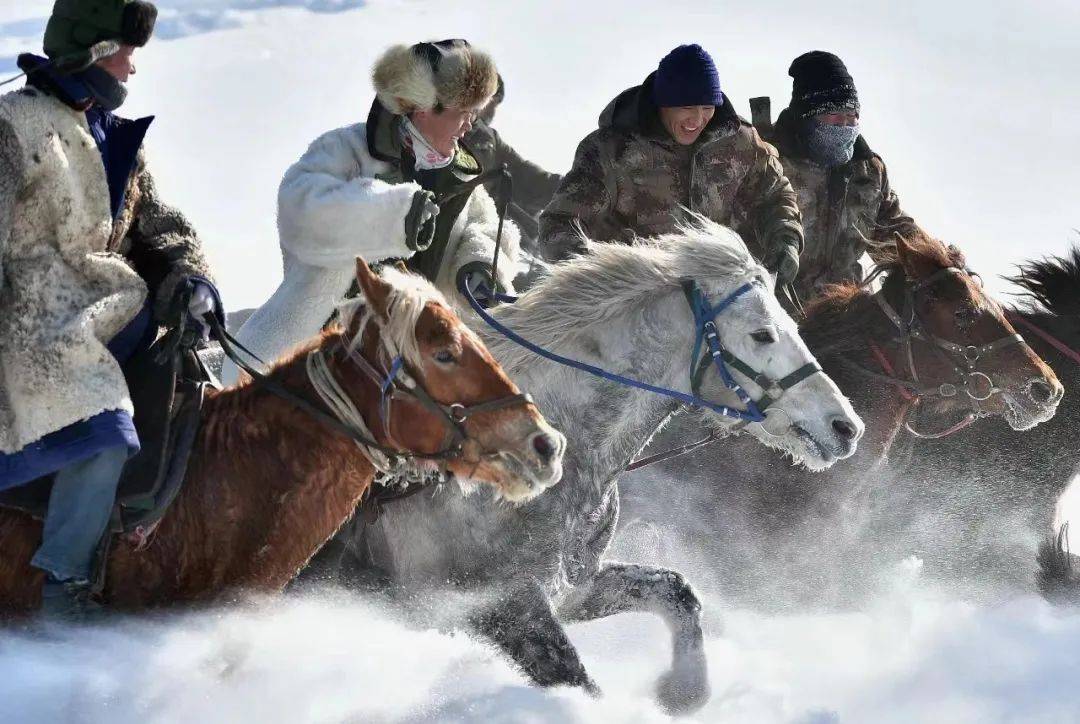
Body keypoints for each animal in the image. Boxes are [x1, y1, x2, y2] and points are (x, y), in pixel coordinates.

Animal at [317, 219, 859, 713]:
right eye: (762, 334)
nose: (845, 427)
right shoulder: (502, 609)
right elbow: (578, 681)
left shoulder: (577, 588)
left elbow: (678, 592)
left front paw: (684, 693)